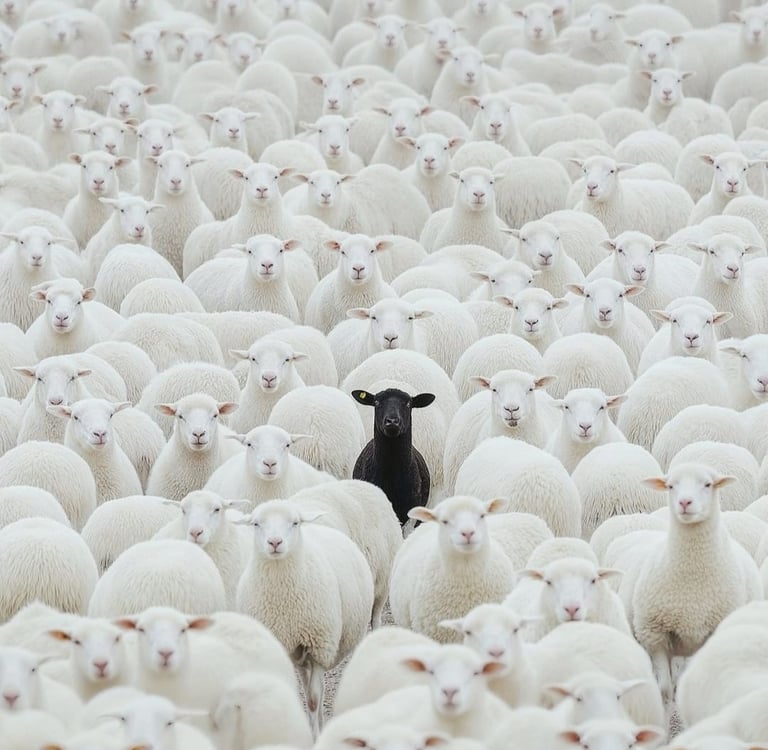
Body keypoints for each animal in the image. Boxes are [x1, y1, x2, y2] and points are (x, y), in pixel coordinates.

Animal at [235, 498, 374, 734]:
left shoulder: (319, 647)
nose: (275, 542)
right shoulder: (285, 646)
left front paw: (316, 734)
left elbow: (313, 699)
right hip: (298, 654)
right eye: (256, 524)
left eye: (295, 522)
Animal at [608, 463, 762, 700]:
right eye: (671, 486)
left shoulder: (708, 632)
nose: (685, 502)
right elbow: (664, 686)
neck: (692, 578)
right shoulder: (654, 633)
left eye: (708, 484)